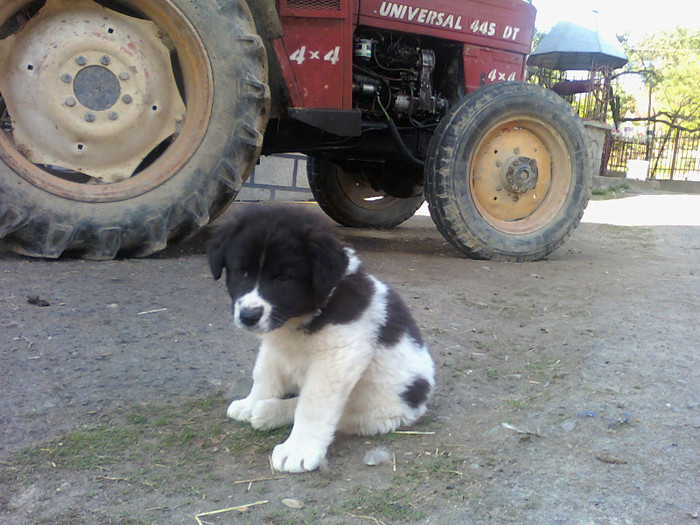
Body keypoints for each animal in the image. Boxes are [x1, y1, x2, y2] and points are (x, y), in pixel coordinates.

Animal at [208, 204, 434, 470]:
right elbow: (264, 374)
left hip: (376, 410)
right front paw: (250, 403)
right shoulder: (275, 344)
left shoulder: (337, 356)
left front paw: (297, 451)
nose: (248, 316)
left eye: (283, 278)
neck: (304, 314)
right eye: (242, 272)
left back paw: (273, 412)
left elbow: (313, 404)